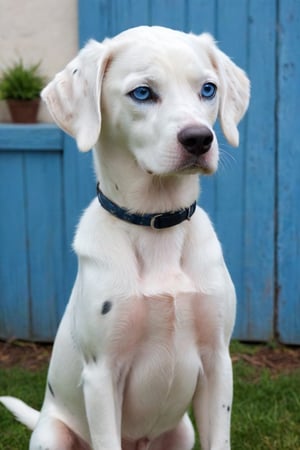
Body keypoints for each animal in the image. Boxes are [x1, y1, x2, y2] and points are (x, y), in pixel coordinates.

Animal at [1, 25, 250, 450]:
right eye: (143, 93)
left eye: (208, 89)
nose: (199, 139)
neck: (156, 225)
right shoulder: (102, 375)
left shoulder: (218, 361)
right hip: (52, 434)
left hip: (181, 431)